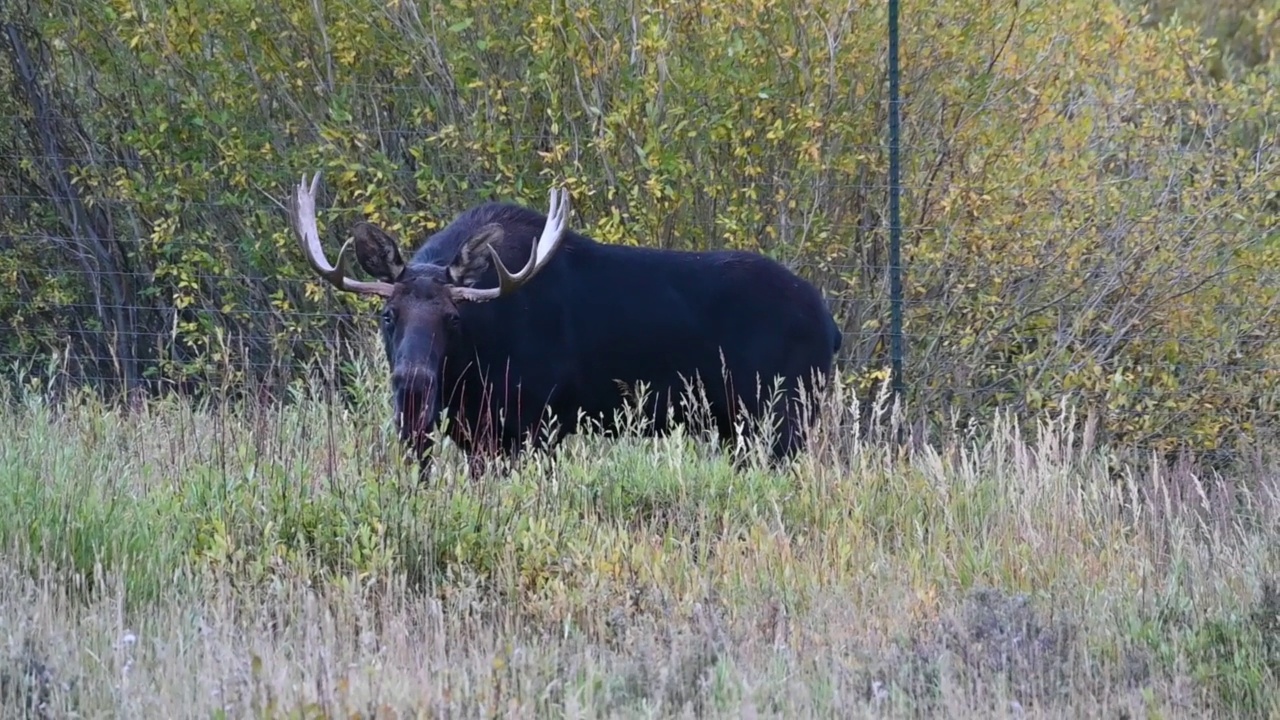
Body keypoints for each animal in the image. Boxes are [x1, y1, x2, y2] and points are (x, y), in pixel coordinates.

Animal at [293, 171, 849, 474]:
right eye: (389, 315)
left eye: (454, 318)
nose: (413, 388)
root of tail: (833, 328)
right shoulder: (477, 433)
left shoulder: (539, 421)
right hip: (740, 425)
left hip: (783, 414)